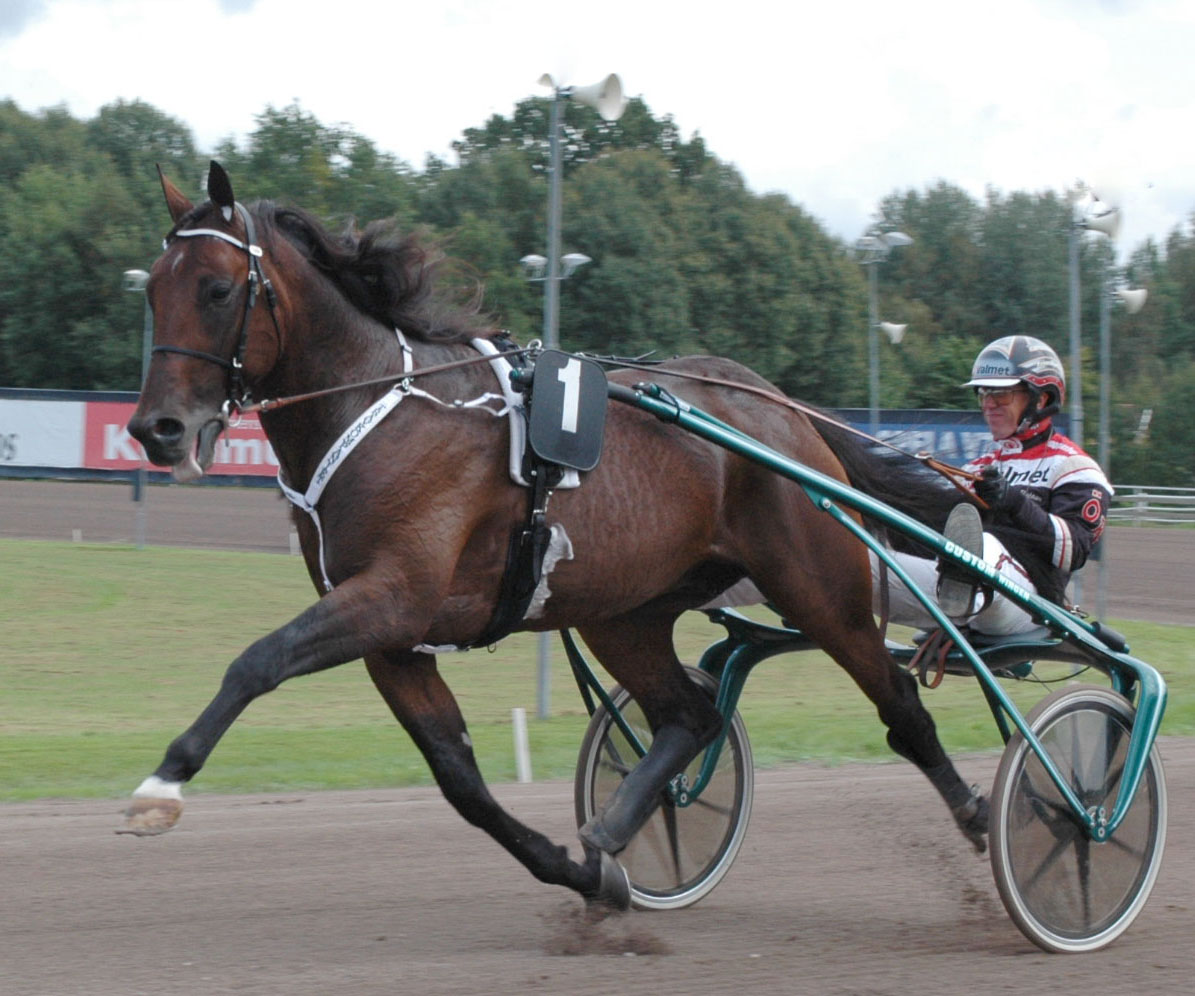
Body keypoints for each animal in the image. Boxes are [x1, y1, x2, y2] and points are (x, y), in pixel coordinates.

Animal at [121, 161, 984, 908]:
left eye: (217, 288)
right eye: (152, 289)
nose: (155, 429)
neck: (383, 407)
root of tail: (784, 411)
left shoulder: (392, 597)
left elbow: (256, 661)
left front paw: (161, 785)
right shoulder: (393, 639)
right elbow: (460, 780)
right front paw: (578, 872)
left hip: (818, 588)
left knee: (899, 700)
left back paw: (985, 818)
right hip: (623, 612)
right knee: (690, 716)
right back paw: (613, 829)